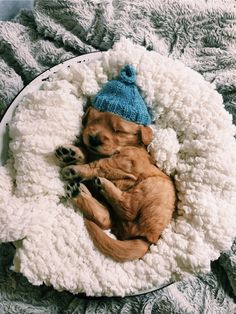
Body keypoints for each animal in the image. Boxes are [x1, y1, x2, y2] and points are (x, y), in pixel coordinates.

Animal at [55, 106, 175, 262]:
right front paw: (72, 153)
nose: (94, 139)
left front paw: (77, 168)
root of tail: (148, 239)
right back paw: (79, 191)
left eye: (118, 130)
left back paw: (100, 184)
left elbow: (98, 164)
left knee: (127, 208)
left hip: (153, 186)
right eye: (93, 119)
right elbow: (89, 155)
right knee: (105, 218)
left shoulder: (124, 161)